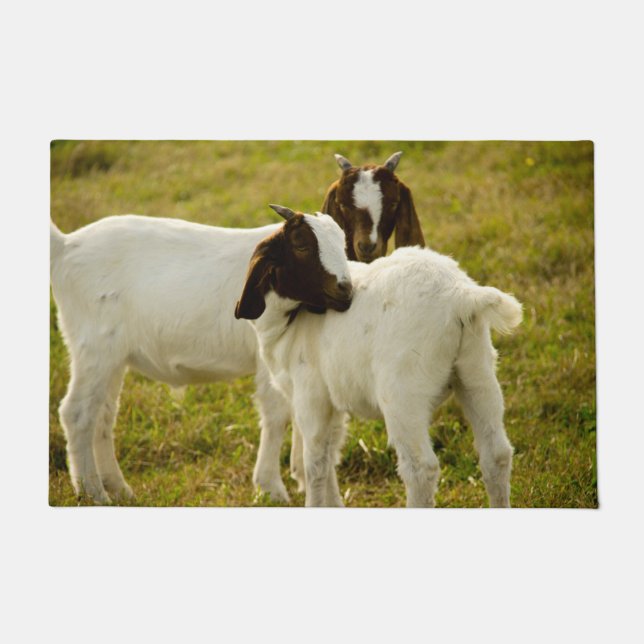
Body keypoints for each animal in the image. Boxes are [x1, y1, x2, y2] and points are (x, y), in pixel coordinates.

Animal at [50, 215, 297, 504]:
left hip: (112, 356)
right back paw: (93, 494)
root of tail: (65, 245)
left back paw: (118, 489)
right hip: (95, 345)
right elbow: (277, 415)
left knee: (103, 414)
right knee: (77, 413)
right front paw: (273, 491)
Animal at [236, 206, 522, 507]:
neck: (287, 323)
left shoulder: (310, 397)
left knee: (421, 468)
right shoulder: (332, 401)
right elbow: (329, 459)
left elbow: (314, 464)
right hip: (477, 371)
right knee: (497, 455)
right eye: (301, 245)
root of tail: (461, 296)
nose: (345, 289)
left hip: (403, 394)